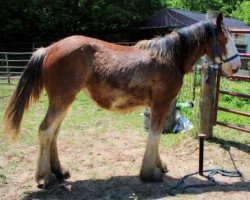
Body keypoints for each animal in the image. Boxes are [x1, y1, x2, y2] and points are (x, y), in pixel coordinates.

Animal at [1, 13, 240, 187]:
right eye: (224, 38)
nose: (237, 66)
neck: (170, 58)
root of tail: (49, 48)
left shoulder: (160, 106)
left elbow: (157, 136)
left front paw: (159, 165)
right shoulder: (161, 103)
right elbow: (154, 136)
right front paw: (150, 173)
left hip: (63, 102)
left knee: (53, 134)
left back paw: (59, 172)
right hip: (61, 101)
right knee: (45, 131)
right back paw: (44, 177)